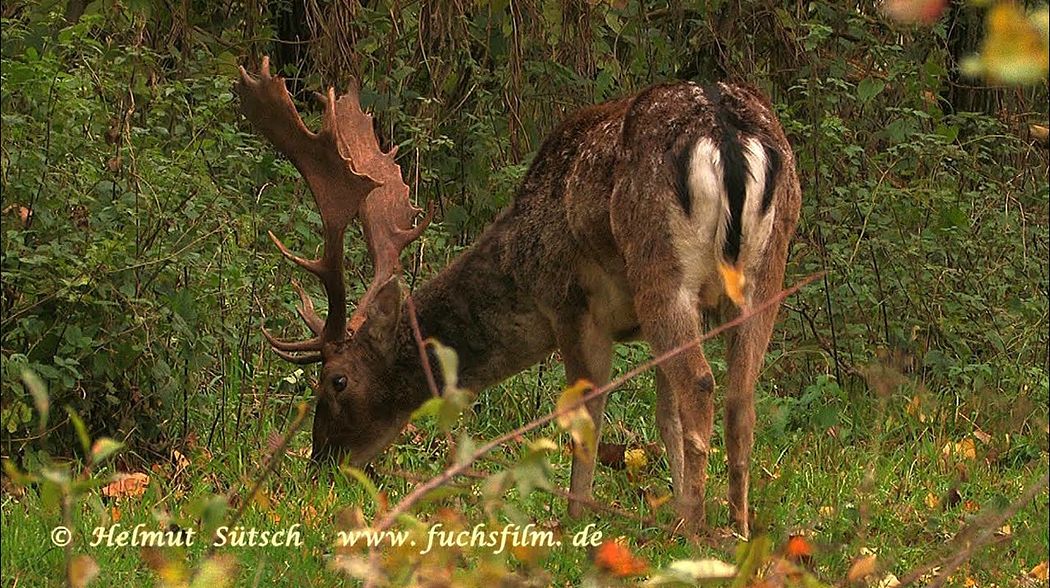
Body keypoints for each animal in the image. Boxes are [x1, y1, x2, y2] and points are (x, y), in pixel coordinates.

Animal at [238, 57, 802, 535]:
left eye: (337, 381)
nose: (322, 463)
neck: (520, 259)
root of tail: (727, 135)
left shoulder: (569, 301)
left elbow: (587, 413)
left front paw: (574, 519)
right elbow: (665, 417)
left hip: (660, 265)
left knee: (702, 384)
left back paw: (694, 529)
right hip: (768, 268)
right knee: (741, 394)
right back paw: (736, 528)